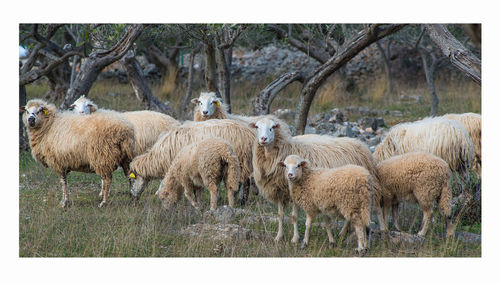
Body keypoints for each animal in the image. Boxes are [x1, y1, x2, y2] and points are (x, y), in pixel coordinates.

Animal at [250, 117, 386, 244]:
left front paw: (295, 238)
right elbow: (280, 215)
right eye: (257, 127)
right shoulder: (279, 191)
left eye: (272, 127)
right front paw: (278, 237)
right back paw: (343, 233)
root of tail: (362, 145)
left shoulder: (294, 190)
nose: (263, 139)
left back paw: (380, 230)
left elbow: (294, 216)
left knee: (375, 208)